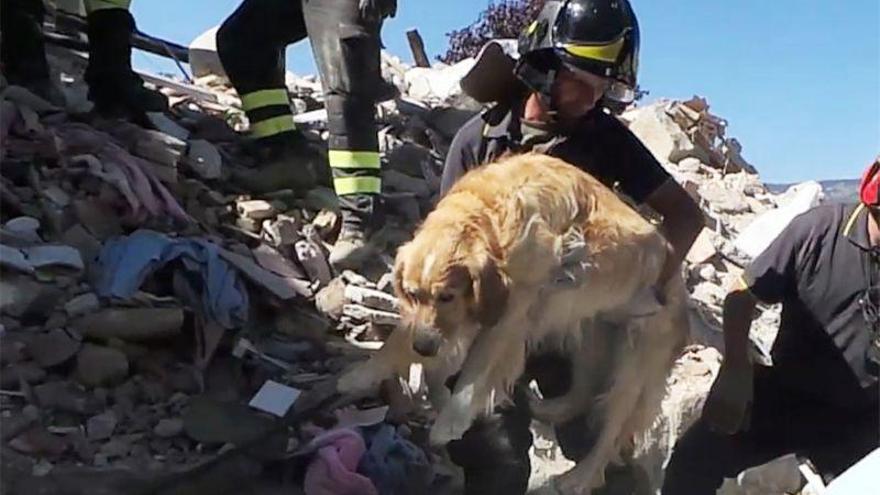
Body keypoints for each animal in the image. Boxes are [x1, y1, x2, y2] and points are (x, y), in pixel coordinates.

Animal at [336, 153, 688, 494]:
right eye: (411, 293)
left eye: (447, 296)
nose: (424, 348)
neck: (490, 216)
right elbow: (399, 339)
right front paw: (359, 376)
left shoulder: (510, 313)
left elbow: (477, 371)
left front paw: (451, 421)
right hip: (589, 329)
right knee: (584, 388)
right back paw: (550, 410)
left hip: (633, 367)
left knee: (612, 430)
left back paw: (580, 477)